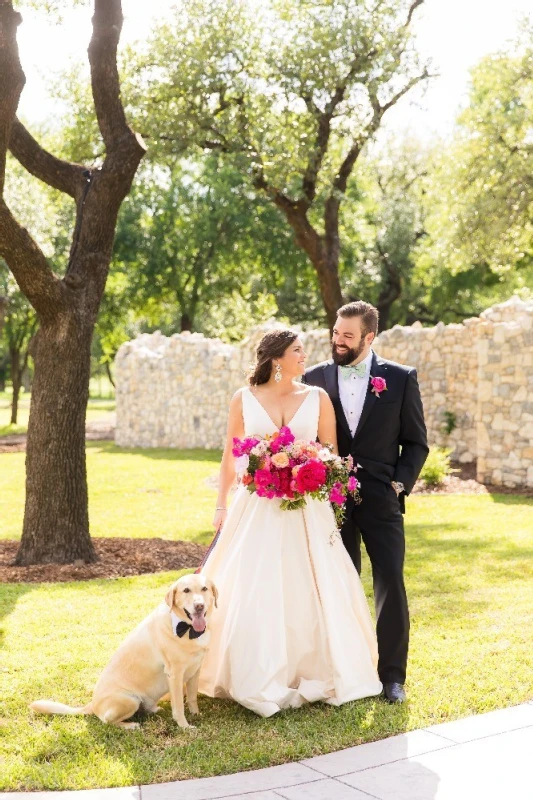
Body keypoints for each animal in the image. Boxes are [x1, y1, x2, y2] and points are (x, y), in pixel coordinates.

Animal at [30, 572, 217, 728]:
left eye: (204, 588)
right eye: (186, 590)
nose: (199, 606)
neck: (186, 627)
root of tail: (92, 704)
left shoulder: (195, 669)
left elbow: (192, 697)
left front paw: (196, 714)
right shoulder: (175, 674)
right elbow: (178, 706)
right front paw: (185, 726)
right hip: (129, 700)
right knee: (107, 721)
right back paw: (130, 725)